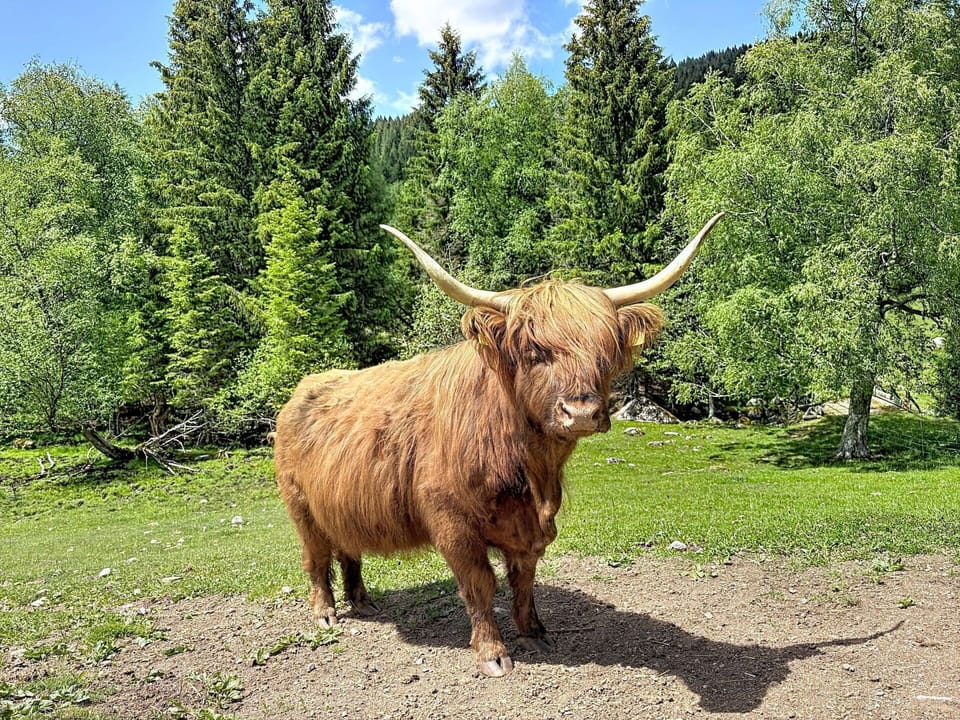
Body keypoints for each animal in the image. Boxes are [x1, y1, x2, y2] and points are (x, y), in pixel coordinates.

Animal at [274, 214, 723, 677]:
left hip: (340, 503)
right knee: (316, 558)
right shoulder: (452, 522)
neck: (530, 469)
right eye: (533, 351)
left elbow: (523, 580)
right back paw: (326, 613)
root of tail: (303, 389)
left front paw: (533, 633)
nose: (580, 412)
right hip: (301, 507)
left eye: (605, 351)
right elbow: (480, 584)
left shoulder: (528, 527)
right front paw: (492, 653)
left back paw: (362, 602)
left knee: (349, 550)